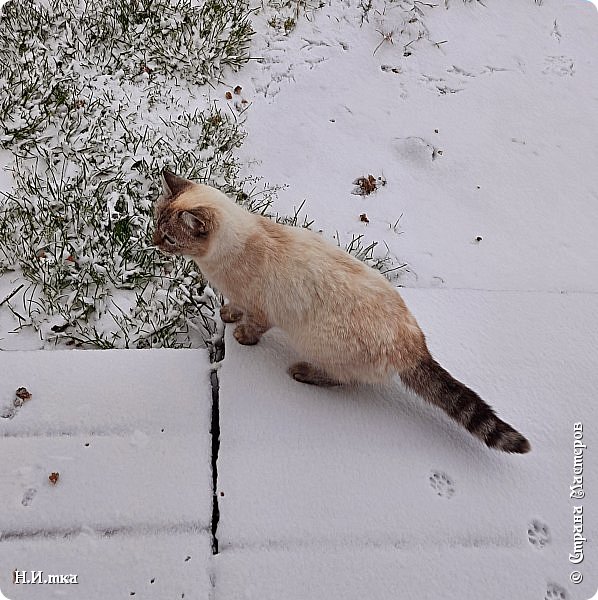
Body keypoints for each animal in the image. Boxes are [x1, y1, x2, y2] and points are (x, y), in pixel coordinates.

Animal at [156, 169, 536, 454]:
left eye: (170, 239)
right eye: (156, 223)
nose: (153, 242)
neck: (218, 262)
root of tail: (415, 346)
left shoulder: (262, 311)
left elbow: (252, 327)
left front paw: (240, 334)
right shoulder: (238, 297)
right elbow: (233, 307)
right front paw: (227, 315)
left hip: (319, 344)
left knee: (341, 379)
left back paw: (302, 372)